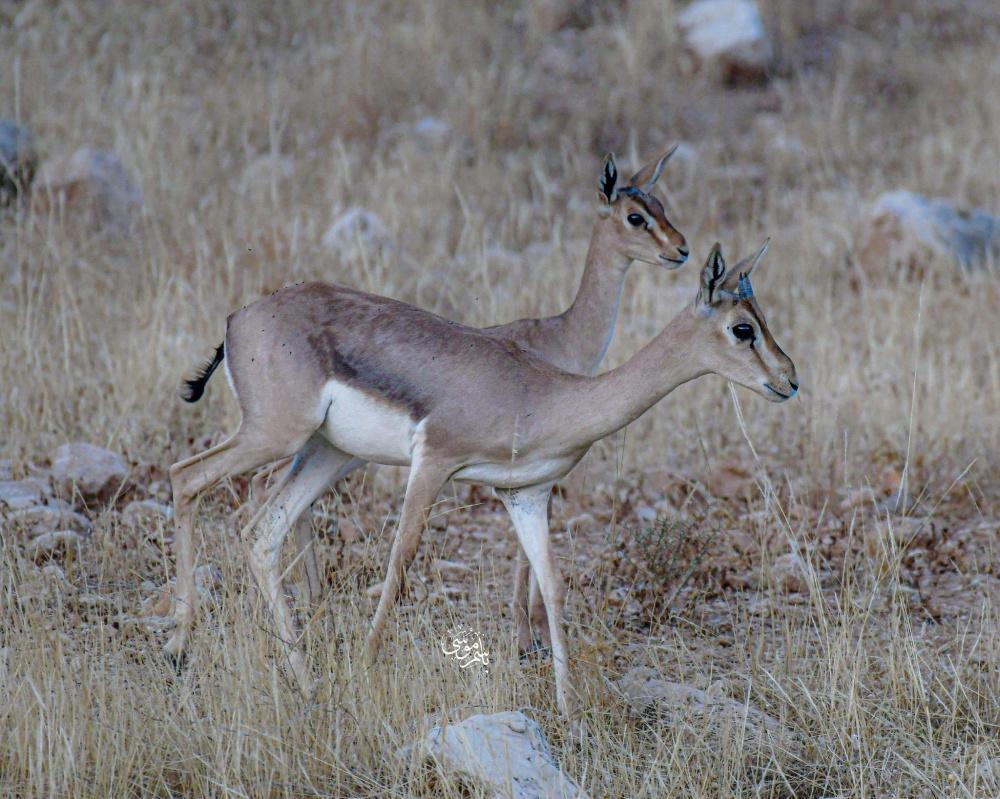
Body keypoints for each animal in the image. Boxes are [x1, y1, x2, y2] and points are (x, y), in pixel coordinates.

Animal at [166, 239, 797, 722]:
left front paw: (569, 711)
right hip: (275, 436)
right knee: (185, 478)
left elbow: (552, 585)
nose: (789, 381)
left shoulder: (526, 496)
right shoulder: (435, 463)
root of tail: (240, 319)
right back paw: (179, 649)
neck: (541, 393)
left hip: (326, 454)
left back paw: (304, 681)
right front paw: (367, 671)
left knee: (261, 532)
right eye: (743, 328)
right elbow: (400, 561)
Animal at [188, 149, 690, 658]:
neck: (561, 338)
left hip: (329, 449)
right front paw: (524, 637)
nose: (681, 249)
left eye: (662, 205)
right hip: (290, 438)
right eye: (636, 217)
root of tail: (237, 320)